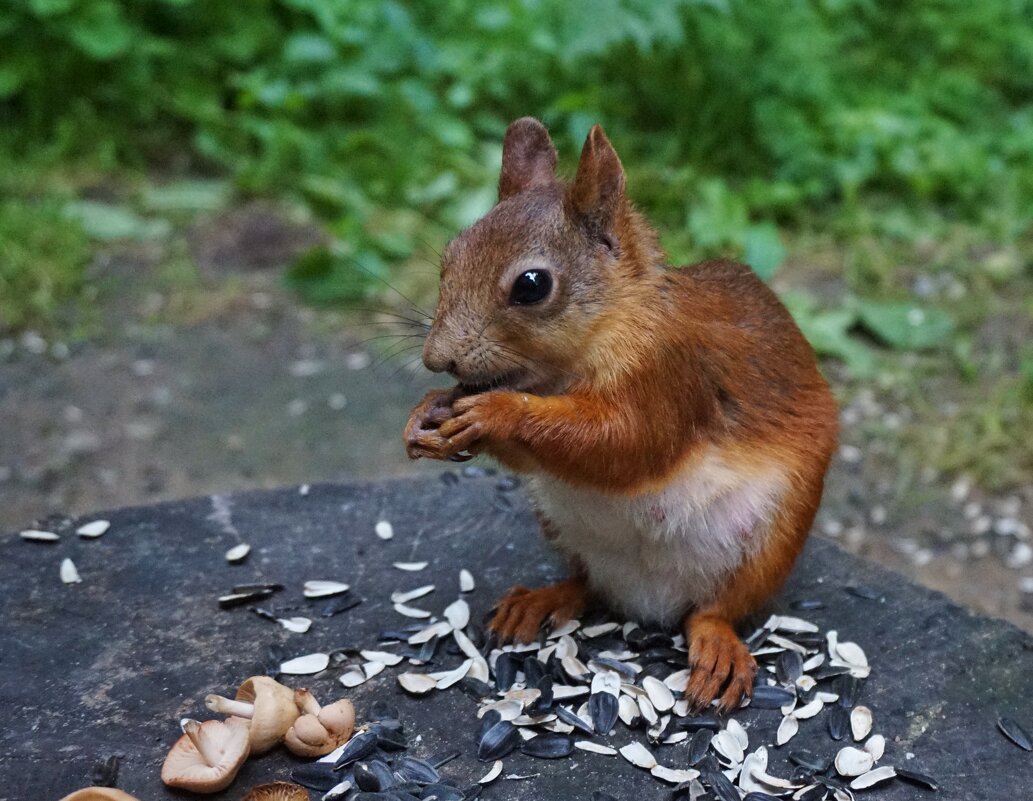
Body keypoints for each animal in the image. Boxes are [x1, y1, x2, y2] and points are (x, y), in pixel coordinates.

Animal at [402, 117, 838, 706]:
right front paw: (425, 413)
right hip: (559, 525)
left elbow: (627, 443)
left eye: (532, 285)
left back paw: (718, 644)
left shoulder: (668, 372)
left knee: (717, 611)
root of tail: (647, 598)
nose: (436, 358)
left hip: (771, 542)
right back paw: (541, 600)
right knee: (586, 584)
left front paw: (496, 412)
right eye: (450, 256)